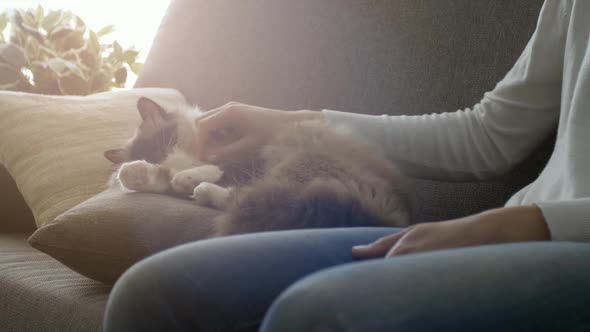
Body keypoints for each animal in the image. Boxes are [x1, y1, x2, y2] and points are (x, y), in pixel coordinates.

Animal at [104, 96, 414, 236]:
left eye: (168, 145)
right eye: (158, 154)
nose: (175, 160)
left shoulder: (243, 151)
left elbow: (214, 168)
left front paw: (189, 176)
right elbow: (158, 178)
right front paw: (136, 173)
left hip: (298, 163)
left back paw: (202, 188)